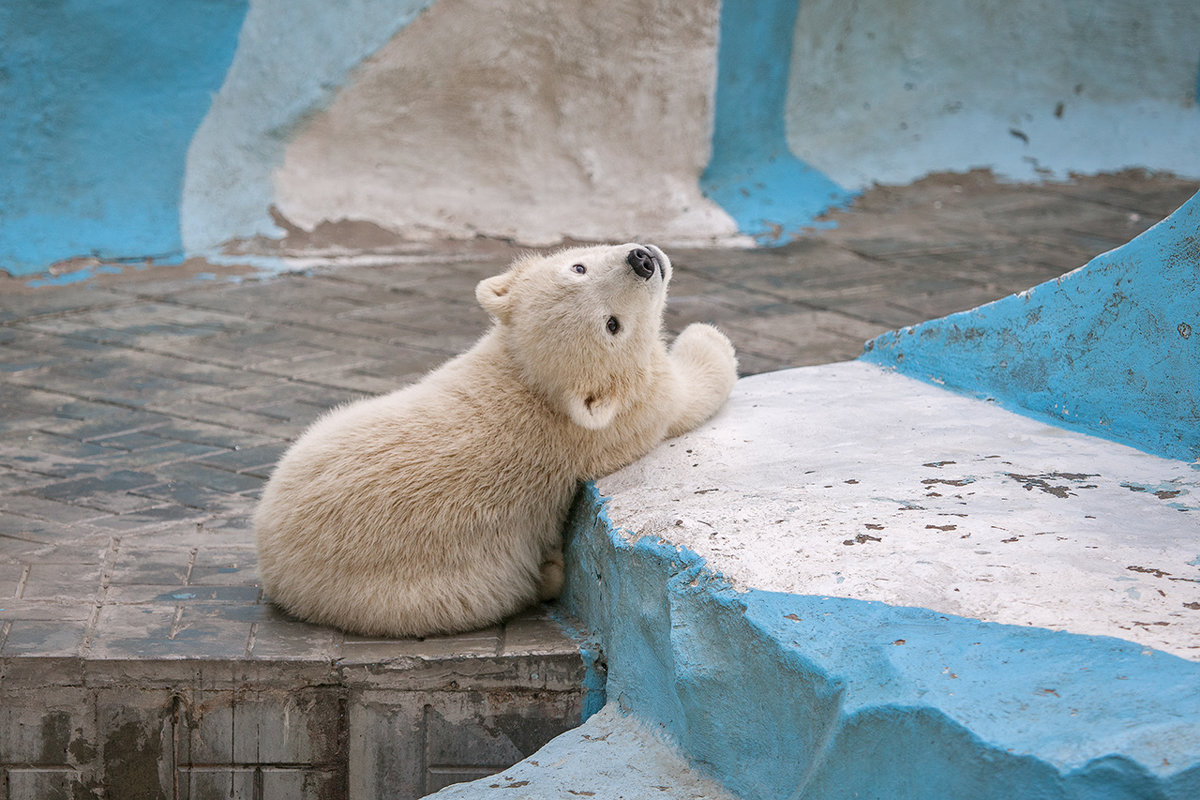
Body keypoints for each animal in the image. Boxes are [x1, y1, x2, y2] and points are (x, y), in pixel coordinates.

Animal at [258, 244, 734, 638]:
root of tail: (272, 561)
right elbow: (691, 391)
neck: (532, 383)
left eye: (578, 267)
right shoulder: (636, 412)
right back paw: (551, 572)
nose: (643, 260)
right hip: (423, 594)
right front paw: (705, 336)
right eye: (611, 325)